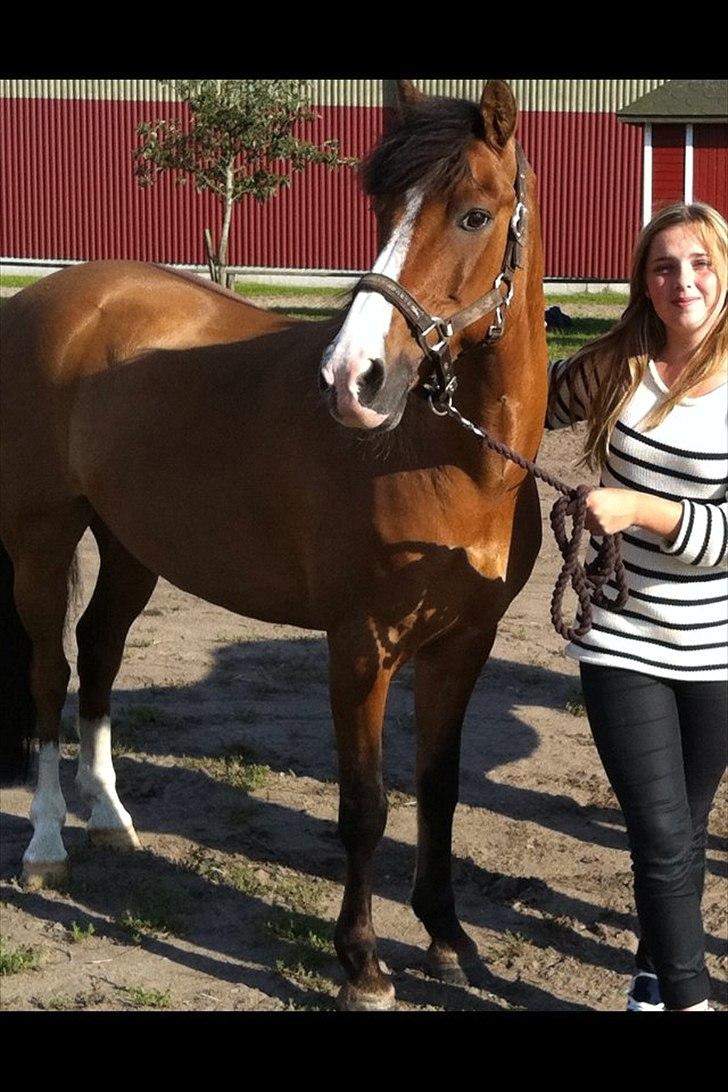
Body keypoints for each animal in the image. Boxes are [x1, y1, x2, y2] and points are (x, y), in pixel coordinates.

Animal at [0, 79, 547, 1010]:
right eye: (381, 209)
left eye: (475, 215)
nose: (353, 378)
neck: (455, 461)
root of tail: (50, 300)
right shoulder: (361, 647)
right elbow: (364, 807)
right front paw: (363, 964)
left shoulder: (464, 644)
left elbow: (438, 793)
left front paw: (447, 939)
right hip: (42, 538)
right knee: (51, 672)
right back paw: (47, 845)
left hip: (132, 543)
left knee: (99, 653)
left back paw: (109, 818)